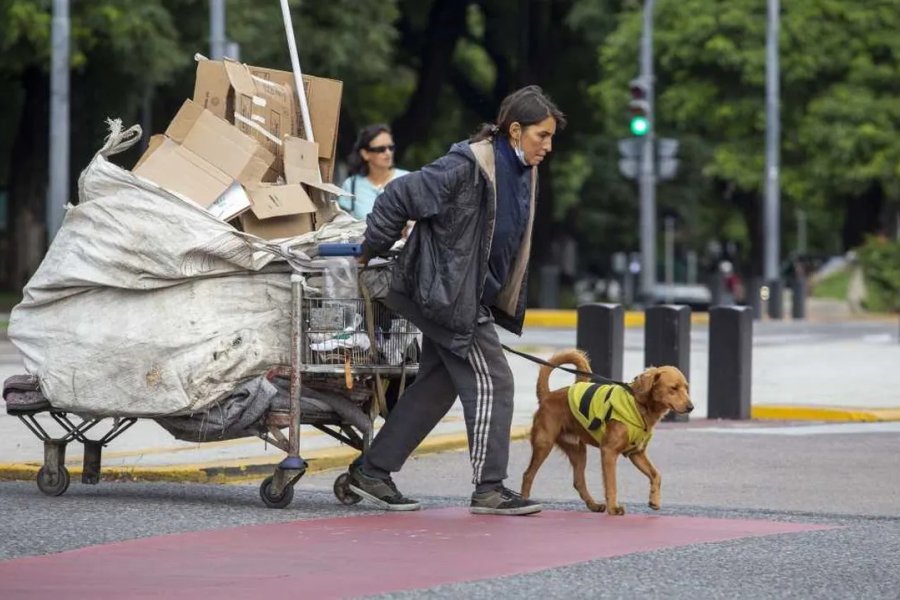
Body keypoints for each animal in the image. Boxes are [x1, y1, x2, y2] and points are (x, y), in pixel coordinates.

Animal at [516, 350, 692, 512]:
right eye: (673, 388)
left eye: (686, 388)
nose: (691, 407)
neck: (638, 405)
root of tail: (548, 395)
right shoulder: (608, 452)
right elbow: (611, 484)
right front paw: (613, 508)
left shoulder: (636, 453)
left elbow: (656, 475)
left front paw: (654, 500)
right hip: (544, 444)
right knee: (528, 475)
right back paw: (524, 501)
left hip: (578, 451)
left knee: (578, 481)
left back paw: (593, 505)